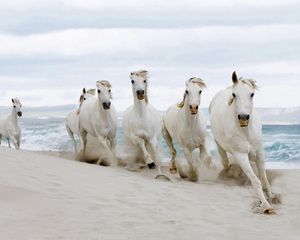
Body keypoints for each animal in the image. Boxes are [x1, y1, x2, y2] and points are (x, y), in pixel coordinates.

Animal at [210, 71, 280, 214]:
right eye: (234, 94)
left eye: (252, 94)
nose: (243, 118)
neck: (246, 132)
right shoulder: (241, 155)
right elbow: (256, 181)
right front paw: (266, 206)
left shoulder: (259, 153)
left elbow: (264, 179)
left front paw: (271, 198)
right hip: (220, 147)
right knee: (225, 163)